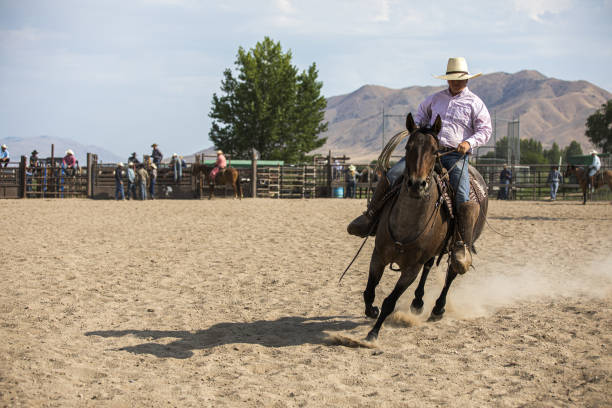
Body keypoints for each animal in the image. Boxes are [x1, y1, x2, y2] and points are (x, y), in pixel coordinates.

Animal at [364, 112, 488, 342]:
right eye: (408, 147)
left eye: (435, 150)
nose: (417, 184)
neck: (406, 225)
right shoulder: (378, 255)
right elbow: (369, 290)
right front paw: (372, 311)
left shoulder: (411, 269)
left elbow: (389, 302)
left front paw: (373, 333)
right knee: (429, 266)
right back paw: (417, 303)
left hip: (462, 242)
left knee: (452, 271)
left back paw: (438, 309)